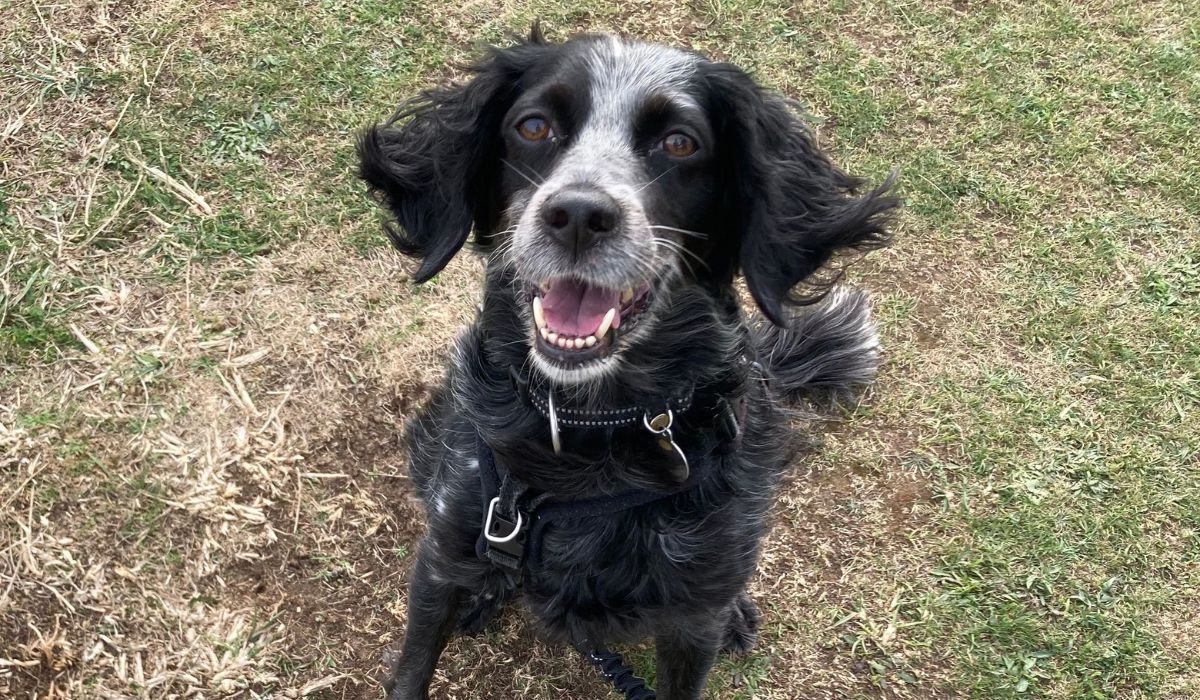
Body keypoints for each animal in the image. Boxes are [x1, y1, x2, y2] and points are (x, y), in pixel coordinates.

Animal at [355, 24, 902, 696]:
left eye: (679, 142)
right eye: (533, 126)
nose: (578, 215)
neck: (590, 428)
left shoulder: (693, 619)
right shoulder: (442, 551)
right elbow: (413, 668)